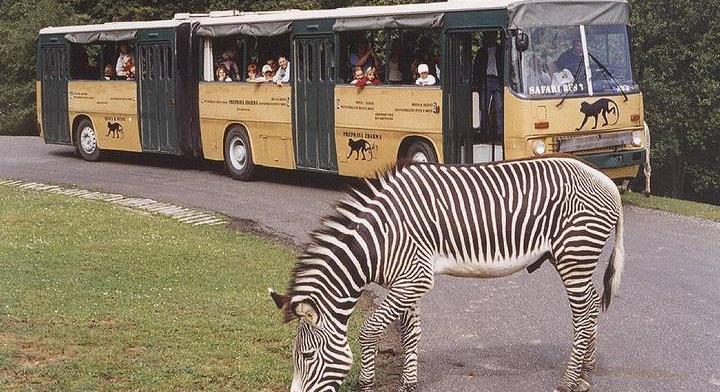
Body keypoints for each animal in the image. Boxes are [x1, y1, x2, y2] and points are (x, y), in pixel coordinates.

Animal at [270, 156, 624, 392]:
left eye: (306, 355)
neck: (378, 239)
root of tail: (607, 181)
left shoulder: (412, 278)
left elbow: (369, 331)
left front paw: (367, 383)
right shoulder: (407, 282)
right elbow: (411, 333)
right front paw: (409, 383)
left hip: (575, 254)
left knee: (582, 314)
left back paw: (569, 379)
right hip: (574, 257)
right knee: (592, 304)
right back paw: (586, 368)